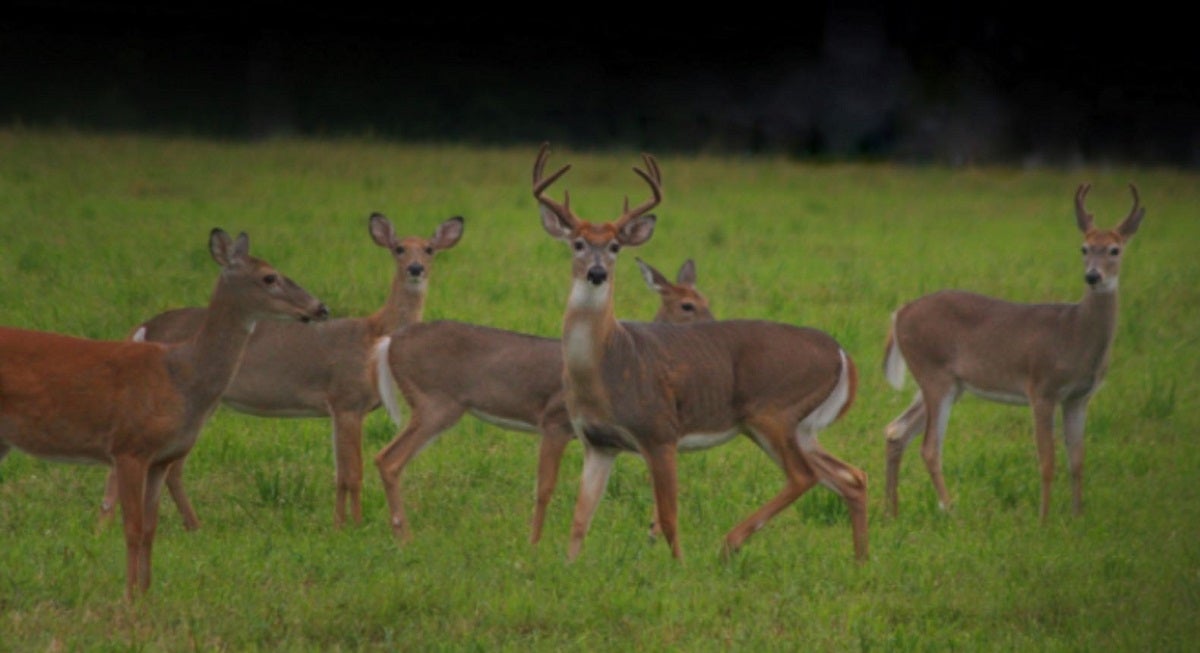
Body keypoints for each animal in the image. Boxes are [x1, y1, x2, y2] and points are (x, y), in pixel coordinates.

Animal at [0, 229, 328, 602]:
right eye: (269, 277)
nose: (321, 307)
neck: (182, 375)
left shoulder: (160, 458)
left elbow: (150, 528)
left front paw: (146, 592)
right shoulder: (128, 446)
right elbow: (132, 527)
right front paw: (128, 597)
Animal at [99, 213, 463, 530]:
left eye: (429, 249)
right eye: (399, 248)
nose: (415, 268)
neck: (374, 336)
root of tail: (143, 327)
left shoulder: (340, 408)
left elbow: (340, 472)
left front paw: (340, 524)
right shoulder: (346, 398)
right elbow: (352, 474)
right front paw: (353, 526)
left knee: (164, 467)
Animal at [374, 254, 710, 544]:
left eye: (706, 301)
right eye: (687, 305)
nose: (713, 325)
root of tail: (390, 342)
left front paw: (652, 532)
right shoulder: (555, 419)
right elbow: (547, 486)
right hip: (435, 403)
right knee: (388, 459)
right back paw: (404, 537)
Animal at [532, 142, 864, 561]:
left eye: (614, 246)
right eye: (577, 243)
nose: (596, 272)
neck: (605, 364)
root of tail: (841, 354)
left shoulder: (660, 431)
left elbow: (669, 516)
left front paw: (678, 565)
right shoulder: (598, 443)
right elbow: (580, 518)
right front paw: (567, 566)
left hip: (773, 411)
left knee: (805, 475)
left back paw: (730, 542)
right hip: (800, 426)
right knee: (849, 476)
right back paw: (861, 560)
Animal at [883, 181, 1142, 523]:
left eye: (1115, 250)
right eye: (1084, 248)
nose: (1093, 276)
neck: (1075, 334)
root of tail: (899, 313)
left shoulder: (1079, 397)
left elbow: (1077, 460)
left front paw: (1077, 517)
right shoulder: (1042, 387)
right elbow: (1047, 460)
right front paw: (1044, 520)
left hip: (950, 383)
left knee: (896, 430)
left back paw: (892, 512)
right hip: (934, 372)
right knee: (929, 447)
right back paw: (950, 509)